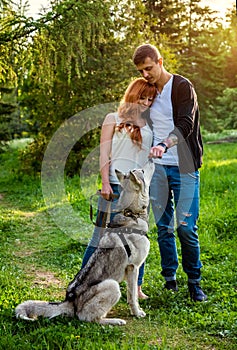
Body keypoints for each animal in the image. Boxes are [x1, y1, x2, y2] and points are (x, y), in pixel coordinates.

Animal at [15, 161, 155, 326]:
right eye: (143, 171)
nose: (152, 159)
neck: (131, 213)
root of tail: (69, 301)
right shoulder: (134, 268)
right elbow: (133, 297)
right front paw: (137, 313)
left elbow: (131, 296)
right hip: (112, 285)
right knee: (87, 318)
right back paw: (114, 321)